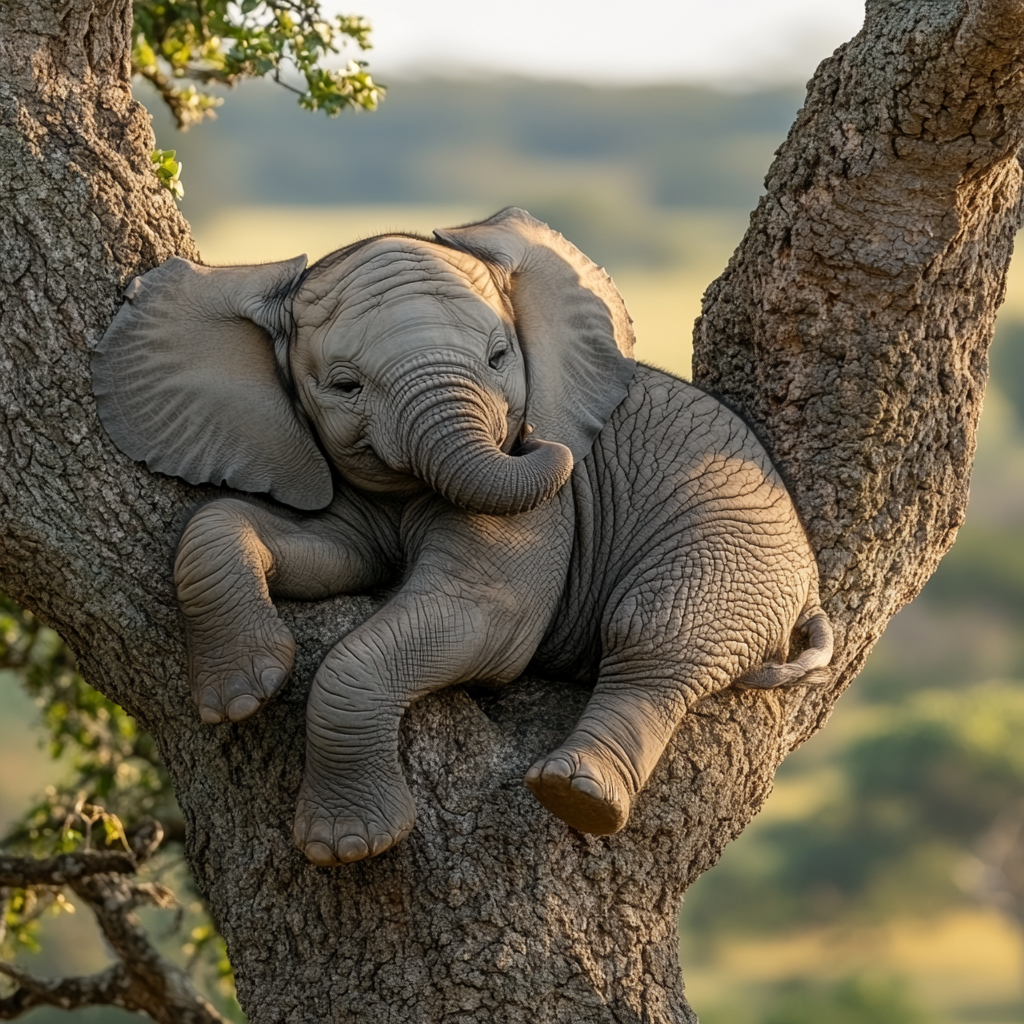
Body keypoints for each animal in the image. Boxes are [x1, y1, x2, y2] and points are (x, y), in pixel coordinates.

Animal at [92, 205, 831, 864]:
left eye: (501, 357)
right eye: (344, 385)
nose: (537, 436)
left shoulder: (543, 511)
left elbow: (483, 616)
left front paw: (347, 847)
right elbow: (304, 544)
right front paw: (241, 694)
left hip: (736, 550)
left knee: (653, 638)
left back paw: (577, 795)